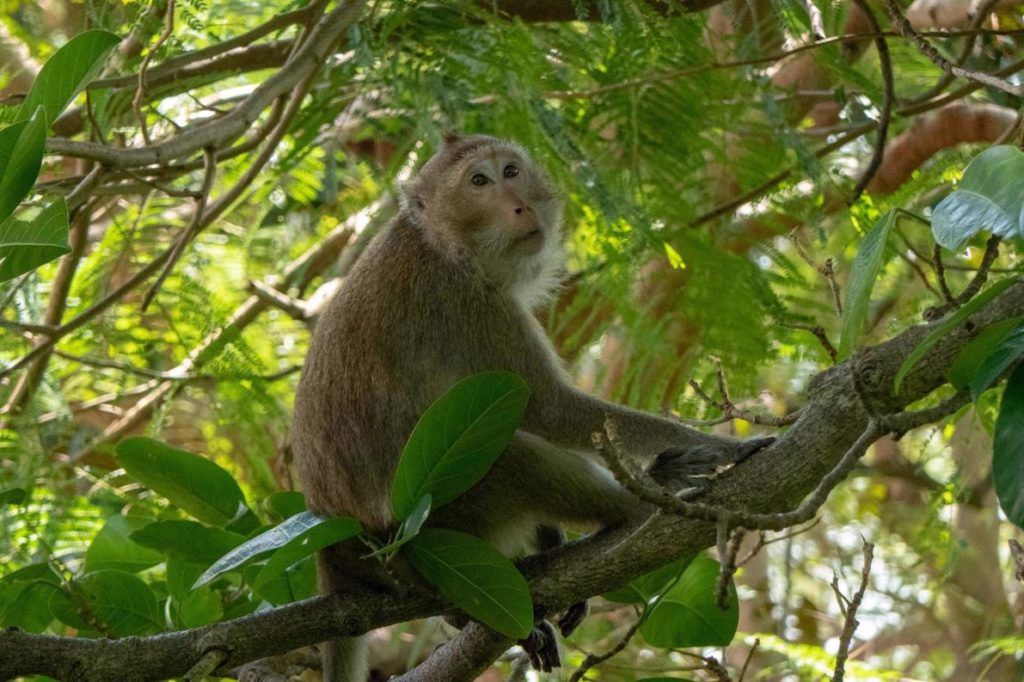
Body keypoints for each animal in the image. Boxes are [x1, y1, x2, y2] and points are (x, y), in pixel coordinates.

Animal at [288, 131, 770, 675]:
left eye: (511, 171)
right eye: (479, 181)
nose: (519, 205)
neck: (440, 242)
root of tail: (338, 553)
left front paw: (551, 539)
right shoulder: (473, 306)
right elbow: (547, 409)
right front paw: (724, 449)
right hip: (436, 521)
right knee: (513, 455)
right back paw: (642, 503)